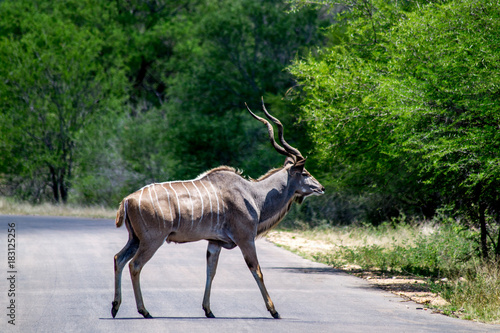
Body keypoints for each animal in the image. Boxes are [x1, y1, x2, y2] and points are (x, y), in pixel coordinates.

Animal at [111, 101, 326, 320]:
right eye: (305, 173)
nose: (321, 188)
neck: (253, 195)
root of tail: (127, 200)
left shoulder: (215, 243)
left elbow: (210, 272)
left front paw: (208, 310)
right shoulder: (245, 238)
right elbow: (256, 270)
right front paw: (274, 310)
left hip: (136, 239)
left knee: (119, 259)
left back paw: (115, 306)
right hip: (152, 240)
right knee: (135, 265)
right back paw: (144, 311)